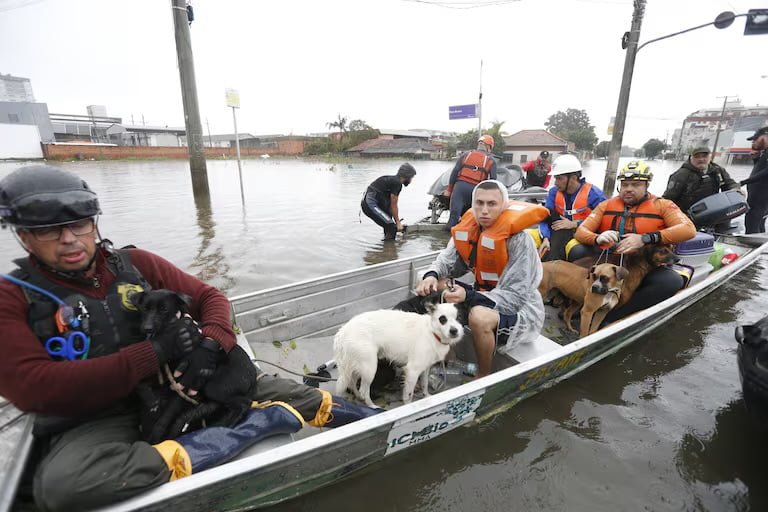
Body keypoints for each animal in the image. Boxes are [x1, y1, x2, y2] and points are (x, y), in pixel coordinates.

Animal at [130, 288, 260, 444]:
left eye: (164, 309)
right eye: (144, 308)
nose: (147, 328)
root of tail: (253, 376)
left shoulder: (182, 384)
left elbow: (166, 415)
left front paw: (157, 436)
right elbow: (140, 383)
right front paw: (149, 398)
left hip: (215, 387)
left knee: (244, 403)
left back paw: (223, 425)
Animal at [334, 302, 464, 406]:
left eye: (459, 318)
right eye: (443, 319)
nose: (454, 331)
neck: (432, 333)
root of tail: (342, 333)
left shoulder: (425, 368)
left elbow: (424, 384)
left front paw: (426, 396)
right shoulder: (412, 371)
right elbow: (408, 395)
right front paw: (408, 407)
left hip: (357, 366)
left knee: (352, 382)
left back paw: (358, 396)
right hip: (369, 368)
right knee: (364, 391)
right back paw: (373, 406)